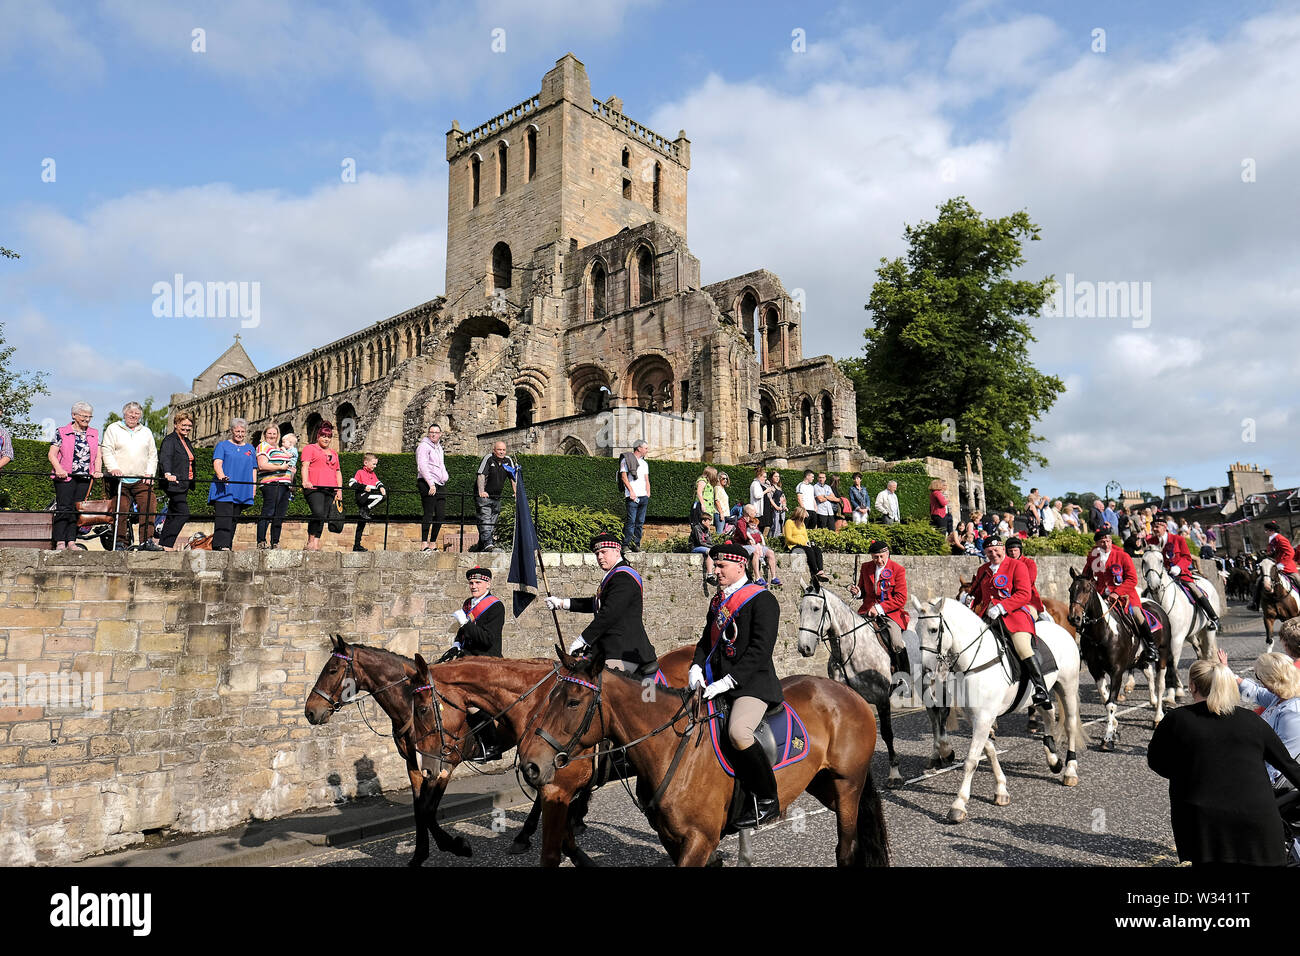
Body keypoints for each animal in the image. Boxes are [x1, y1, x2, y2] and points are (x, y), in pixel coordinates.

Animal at [512, 650, 889, 868]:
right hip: (825, 785)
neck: (670, 748)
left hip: (847, 785)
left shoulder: (700, 838)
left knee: (846, 849)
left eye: (573, 701)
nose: (530, 764)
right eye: (549, 696)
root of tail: (846, 691)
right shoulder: (673, 838)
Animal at [904, 598, 1086, 822]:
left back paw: (1070, 770)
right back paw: (1053, 759)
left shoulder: (984, 717)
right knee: (1049, 713)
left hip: (1068, 686)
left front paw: (959, 804)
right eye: (916, 630)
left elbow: (971, 760)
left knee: (1069, 725)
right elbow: (989, 750)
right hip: (1040, 693)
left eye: (933, 629)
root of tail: (1061, 630)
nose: (926, 670)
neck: (973, 661)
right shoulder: (978, 717)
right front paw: (1001, 789)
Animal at [1138, 546, 1216, 702]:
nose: (1154, 586)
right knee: (1199, 649)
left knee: (1209, 651)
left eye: (1161, 560)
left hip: (1208, 630)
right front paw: (1172, 691)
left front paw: (1176, 692)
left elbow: (1173, 663)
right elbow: (1169, 664)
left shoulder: (1176, 639)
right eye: (1144, 561)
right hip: (1191, 635)